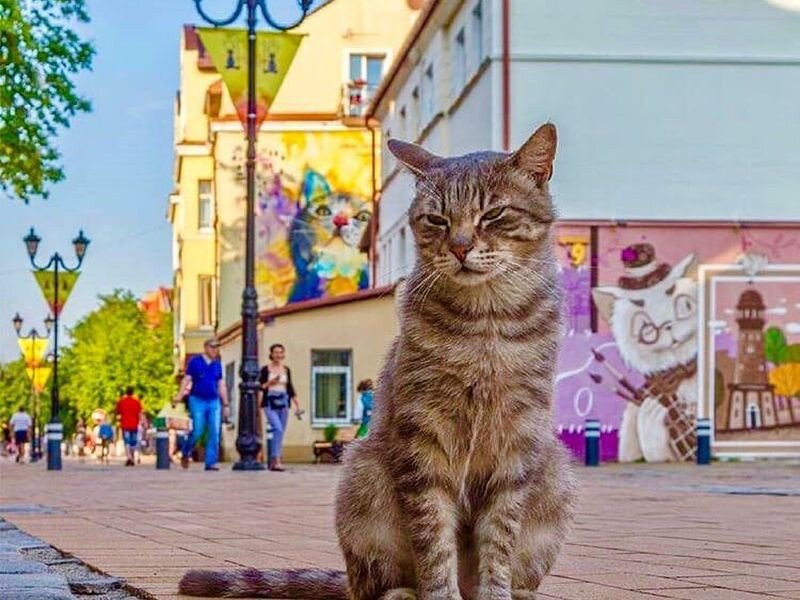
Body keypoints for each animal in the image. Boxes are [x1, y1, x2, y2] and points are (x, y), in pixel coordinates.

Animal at [181, 124, 576, 596]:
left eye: (494, 214)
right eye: (437, 220)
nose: (460, 247)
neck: (487, 323)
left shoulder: (517, 443)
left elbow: (499, 542)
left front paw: (496, 590)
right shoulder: (423, 438)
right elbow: (434, 542)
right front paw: (440, 592)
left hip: (554, 474)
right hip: (363, 477)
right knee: (373, 584)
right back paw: (402, 592)